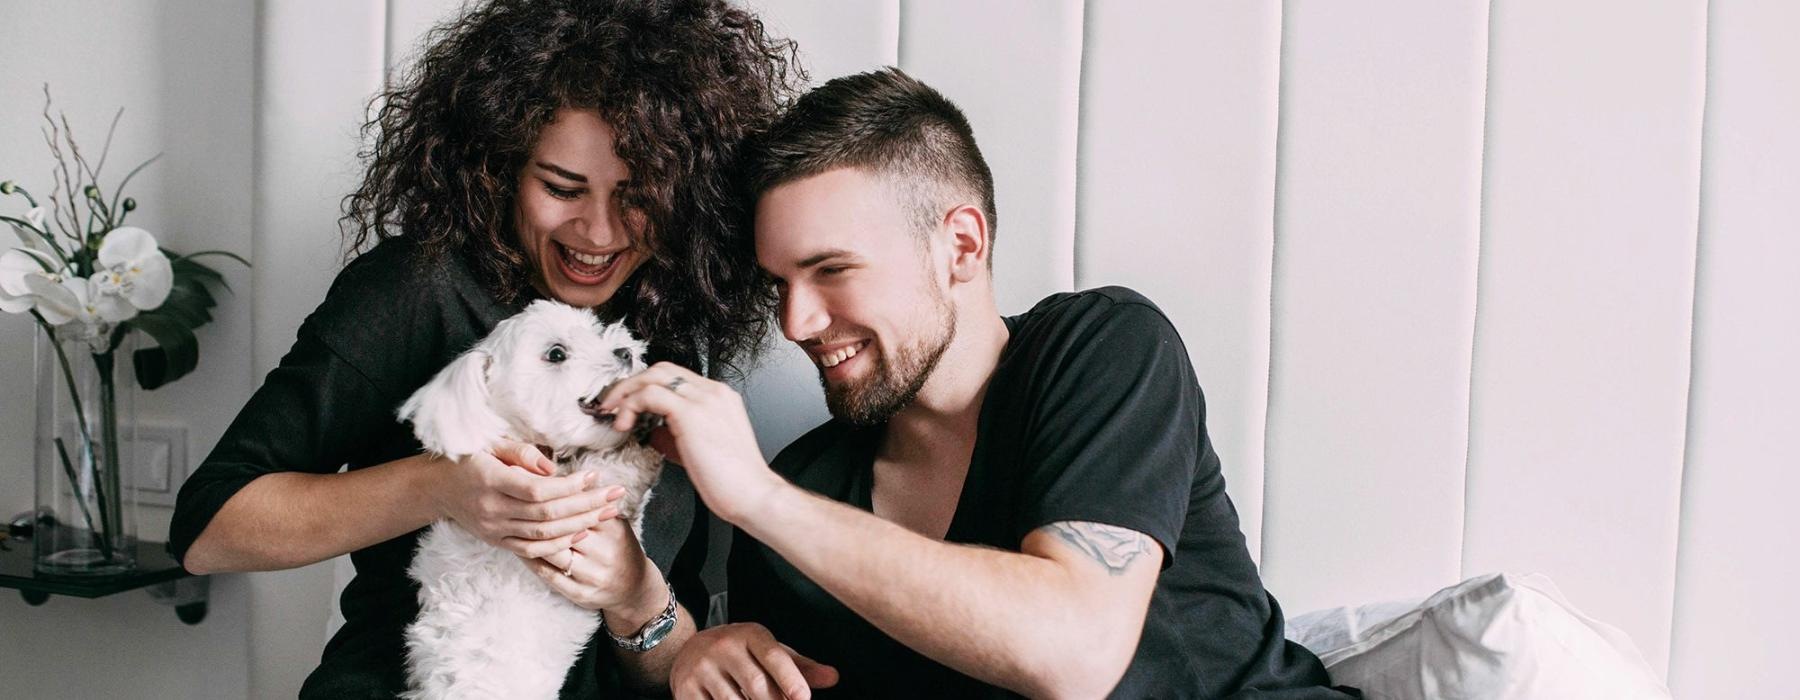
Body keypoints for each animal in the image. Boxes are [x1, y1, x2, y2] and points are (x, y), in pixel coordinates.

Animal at [397, 300, 666, 698]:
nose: (625, 351)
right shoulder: (585, 499)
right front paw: (642, 442)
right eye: (556, 354)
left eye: (592, 330)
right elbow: (620, 473)